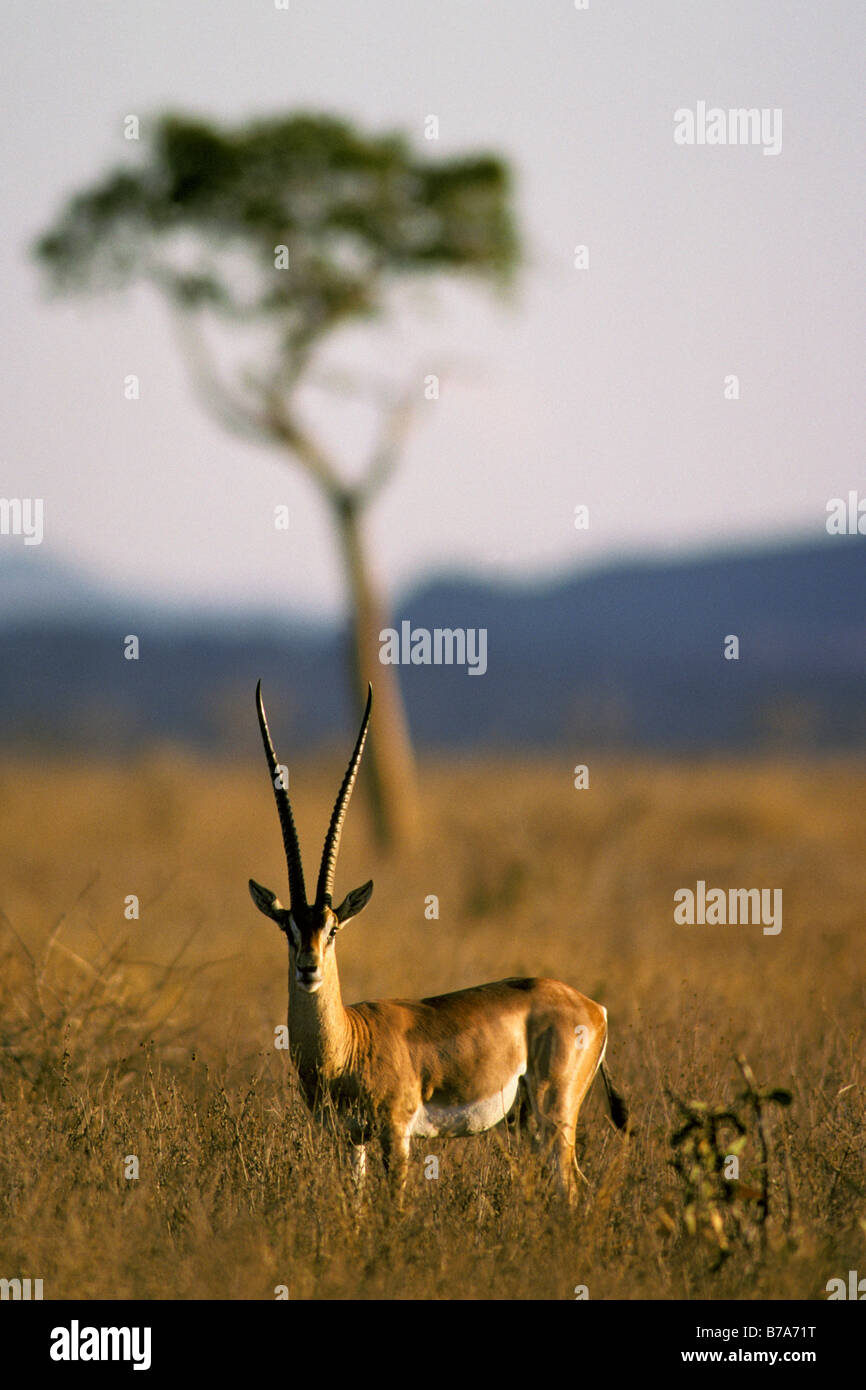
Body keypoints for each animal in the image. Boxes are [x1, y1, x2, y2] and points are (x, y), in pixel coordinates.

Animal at [249, 681, 628, 1202]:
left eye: (333, 927)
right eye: (287, 926)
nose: (308, 968)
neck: (347, 1042)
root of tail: (595, 1007)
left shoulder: (396, 1133)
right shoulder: (350, 1141)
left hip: (555, 1114)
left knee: (573, 1186)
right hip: (528, 1122)